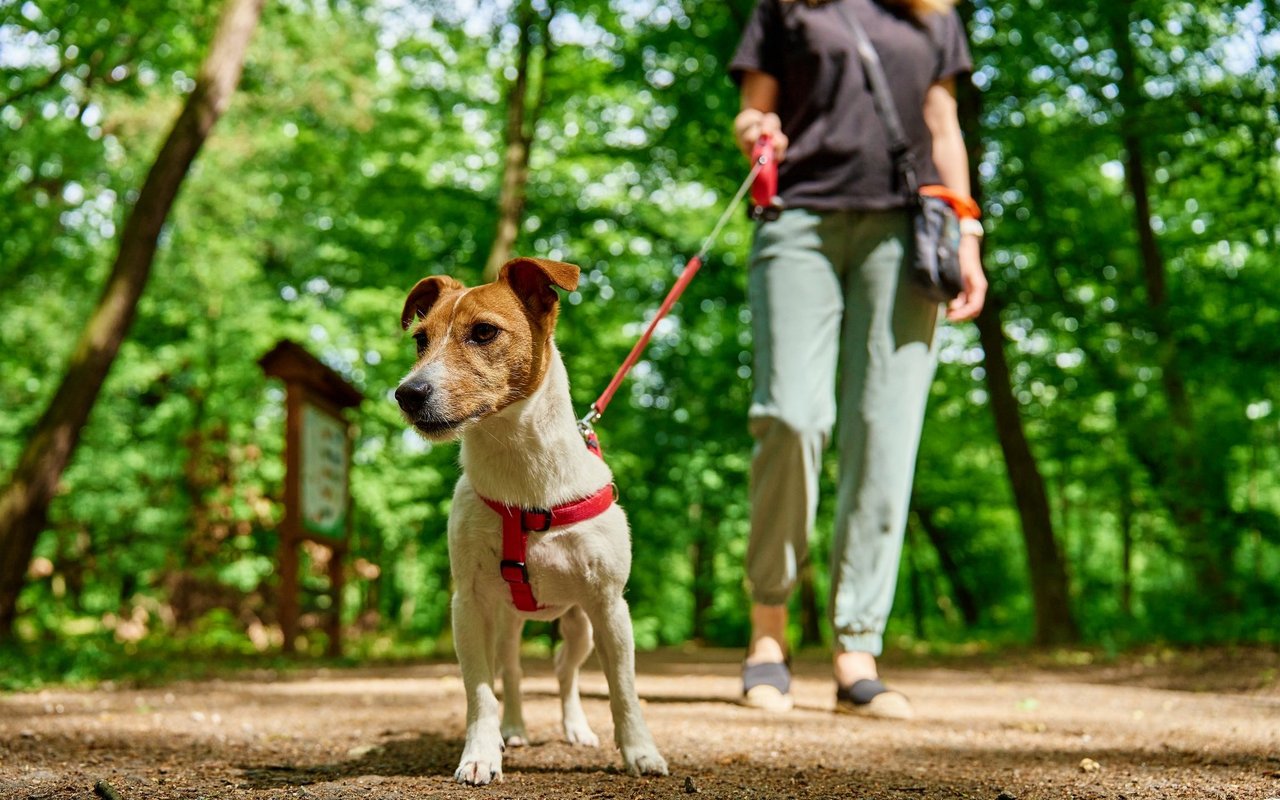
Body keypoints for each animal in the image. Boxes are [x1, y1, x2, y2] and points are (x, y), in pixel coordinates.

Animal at [391, 257, 670, 788]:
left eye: (483, 332)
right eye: (420, 338)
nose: (407, 393)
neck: (523, 480)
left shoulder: (610, 607)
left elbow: (624, 690)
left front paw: (641, 752)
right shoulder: (468, 605)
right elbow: (480, 691)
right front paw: (481, 754)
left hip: (582, 626)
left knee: (565, 671)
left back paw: (575, 727)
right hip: (506, 622)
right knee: (514, 672)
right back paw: (514, 728)